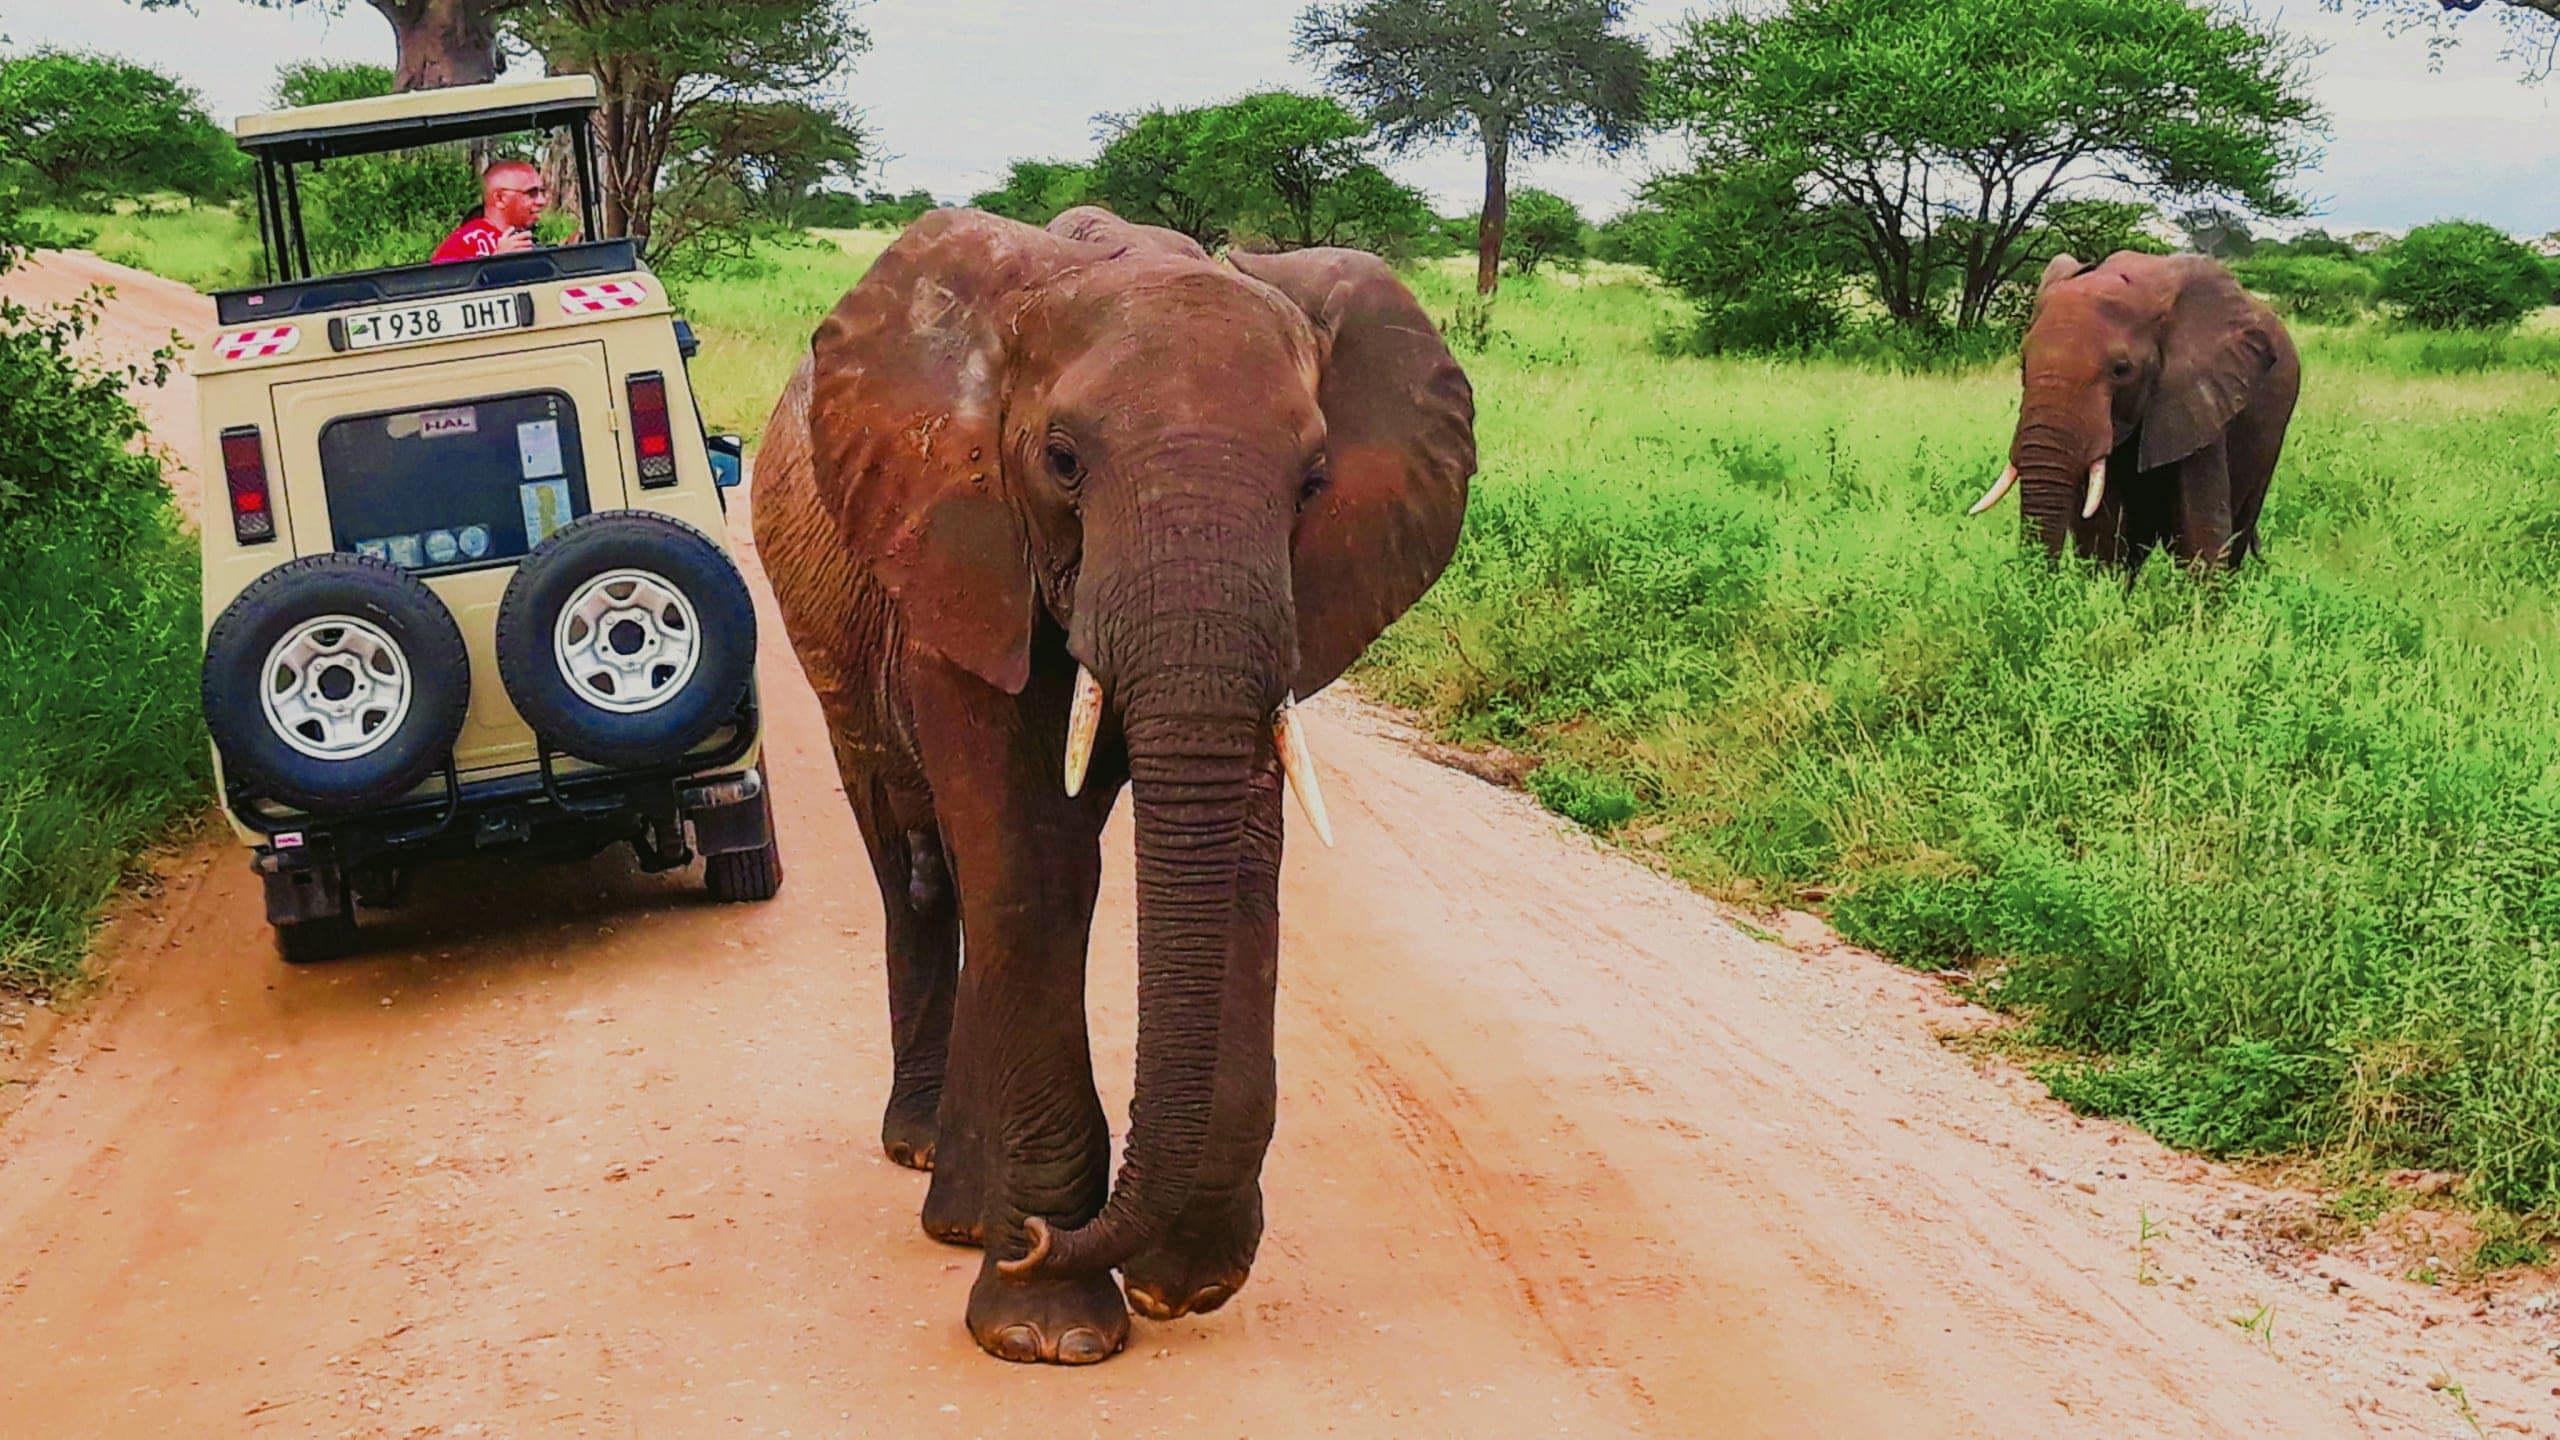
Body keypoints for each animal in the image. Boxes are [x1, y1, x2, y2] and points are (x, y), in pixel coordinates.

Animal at [753, 205, 1474, 1365]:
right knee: (924, 871)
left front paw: (1184, 1280)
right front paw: (1042, 1330)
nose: (1055, 1242)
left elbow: (1239, 869)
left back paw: (973, 1218)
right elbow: (1020, 863)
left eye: (1314, 482)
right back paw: (936, 1176)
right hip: (831, 641)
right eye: (1060, 460)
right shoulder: (955, 543)